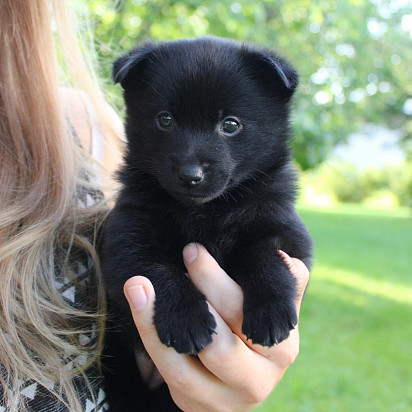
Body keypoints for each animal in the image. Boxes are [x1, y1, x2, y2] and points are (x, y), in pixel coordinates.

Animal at [100, 37, 312, 410]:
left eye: (230, 124)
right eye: (165, 120)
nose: (190, 175)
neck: (204, 212)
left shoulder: (283, 228)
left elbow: (263, 254)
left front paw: (270, 310)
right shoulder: (126, 237)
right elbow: (158, 269)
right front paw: (186, 319)